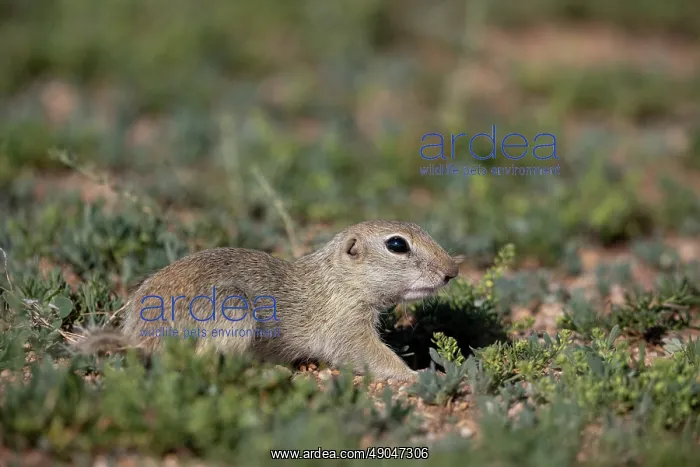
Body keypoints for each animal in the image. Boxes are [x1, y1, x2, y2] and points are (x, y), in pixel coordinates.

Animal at [72, 220, 460, 381]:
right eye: (397, 244)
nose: (452, 270)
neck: (338, 278)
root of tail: (139, 339)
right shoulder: (346, 326)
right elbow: (370, 355)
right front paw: (416, 375)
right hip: (234, 312)